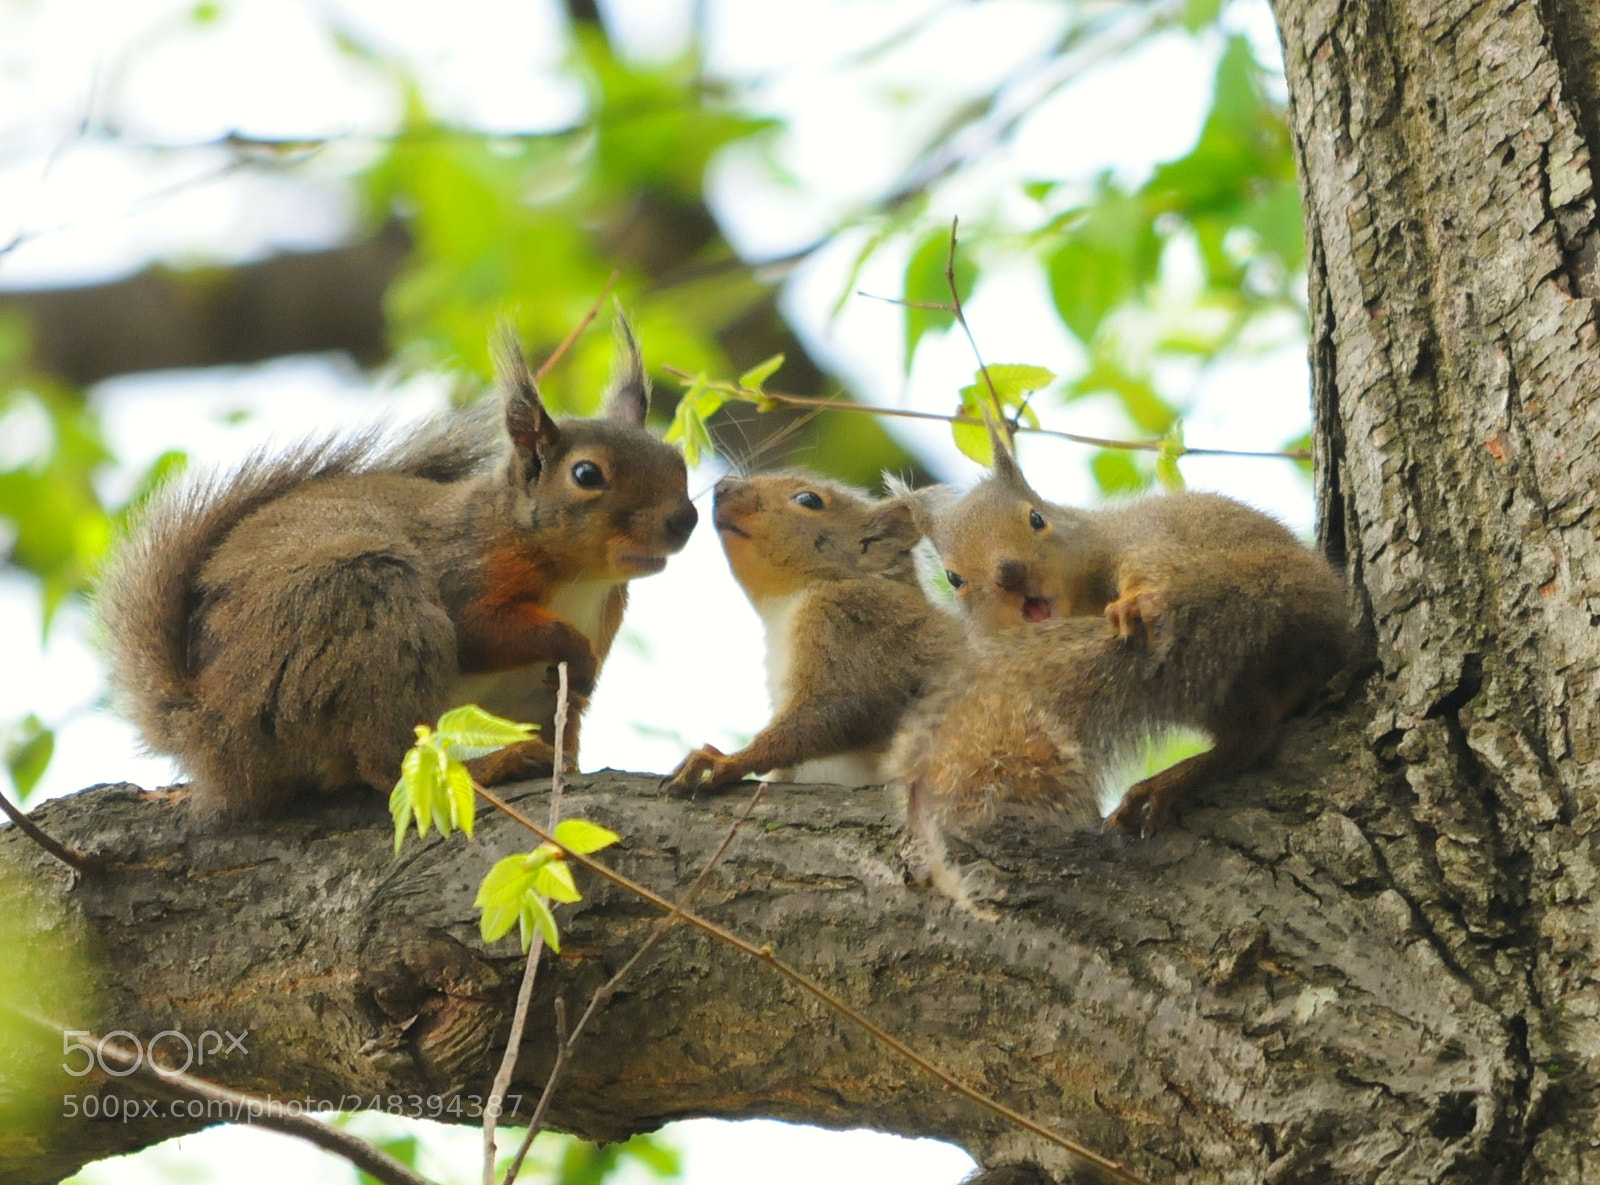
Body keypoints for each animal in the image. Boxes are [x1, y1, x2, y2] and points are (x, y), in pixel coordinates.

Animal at [96, 318, 698, 820]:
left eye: (678, 461)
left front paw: (567, 760)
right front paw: (570, 648)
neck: (583, 582)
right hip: (369, 605)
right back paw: (493, 767)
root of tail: (213, 728)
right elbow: (479, 631)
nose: (686, 519)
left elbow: (566, 721)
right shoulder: (465, 567)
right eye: (587, 474)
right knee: (385, 761)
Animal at [889, 428, 1350, 911]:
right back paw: (1171, 782)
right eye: (953, 578)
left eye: (1036, 519)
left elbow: (1146, 563)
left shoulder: (1138, 539)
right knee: (1249, 736)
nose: (1011, 573)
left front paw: (1134, 602)